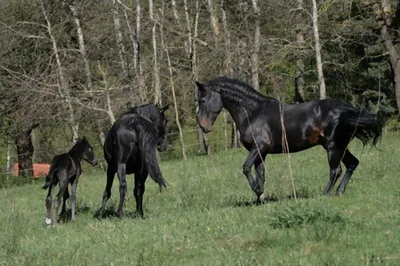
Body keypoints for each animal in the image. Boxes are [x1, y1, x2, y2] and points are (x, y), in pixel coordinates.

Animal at [195, 76, 382, 202]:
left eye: (202, 100)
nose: (203, 126)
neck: (252, 112)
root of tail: (347, 109)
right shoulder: (261, 152)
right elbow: (261, 174)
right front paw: (260, 197)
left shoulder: (259, 147)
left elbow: (246, 168)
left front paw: (257, 190)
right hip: (341, 146)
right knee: (352, 164)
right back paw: (339, 192)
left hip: (333, 147)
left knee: (336, 171)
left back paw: (324, 194)